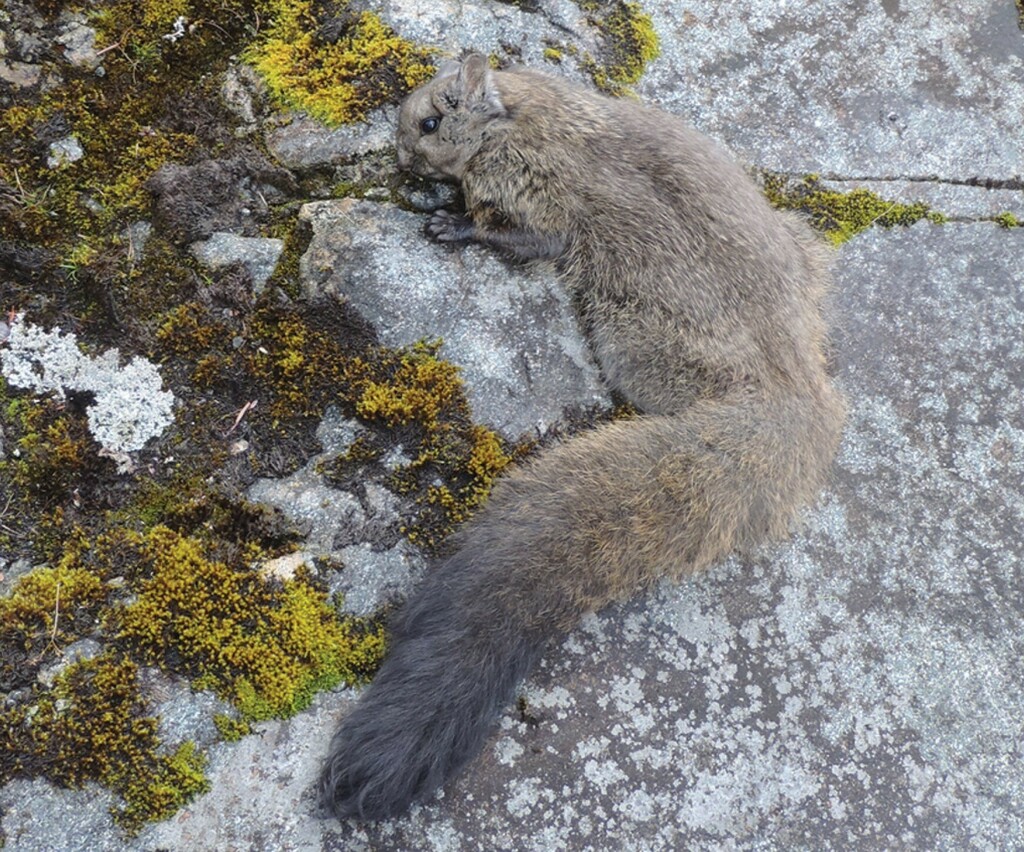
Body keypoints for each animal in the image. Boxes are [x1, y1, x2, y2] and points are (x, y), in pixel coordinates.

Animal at [317, 54, 846, 821]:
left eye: (431, 121)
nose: (399, 156)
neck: (529, 113)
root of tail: (798, 396)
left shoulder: (540, 193)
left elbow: (531, 236)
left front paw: (452, 225)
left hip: (631, 333)